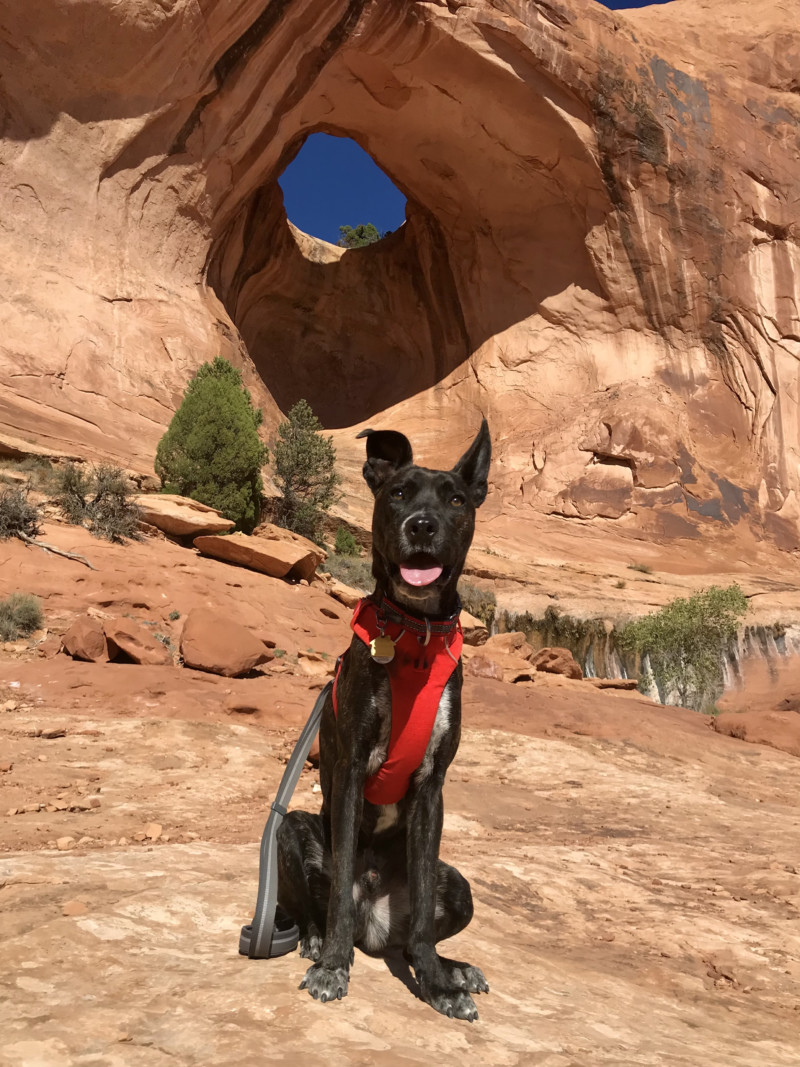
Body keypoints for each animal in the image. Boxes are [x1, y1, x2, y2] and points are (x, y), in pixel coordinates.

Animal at [277, 420, 494, 1020]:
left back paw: (451, 966)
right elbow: (339, 885)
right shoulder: (350, 770)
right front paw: (332, 967)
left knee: (415, 932)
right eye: (398, 492)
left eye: (456, 499)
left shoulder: (432, 787)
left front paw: (438, 985)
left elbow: (420, 915)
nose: (421, 525)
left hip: (458, 885)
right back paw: (315, 940)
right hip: (293, 829)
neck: (413, 637)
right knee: (318, 907)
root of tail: (373, 926)